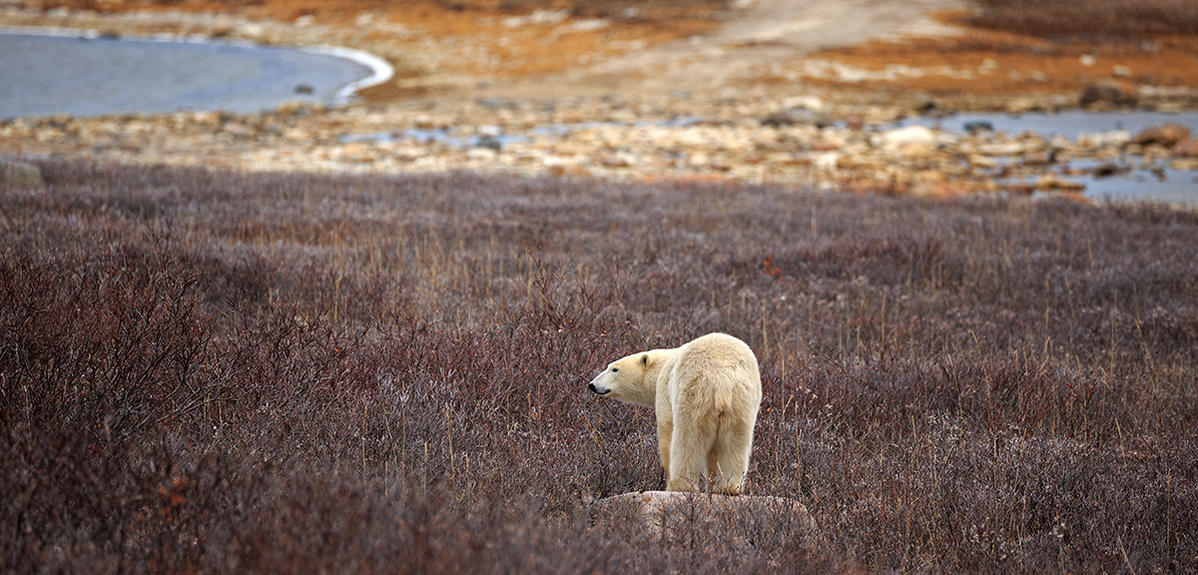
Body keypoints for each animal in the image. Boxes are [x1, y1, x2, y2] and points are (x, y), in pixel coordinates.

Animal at [587, 333, 761, 493]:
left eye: (614, 369)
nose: (592, 385)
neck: (662, 364)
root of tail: (723, 378)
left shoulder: (665, 388)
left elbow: (666, 431)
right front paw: (712, 485)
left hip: (693, 393)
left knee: (687, 439)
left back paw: (679, 485)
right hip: (742, 401)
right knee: (735, 442)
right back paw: (729, 487)